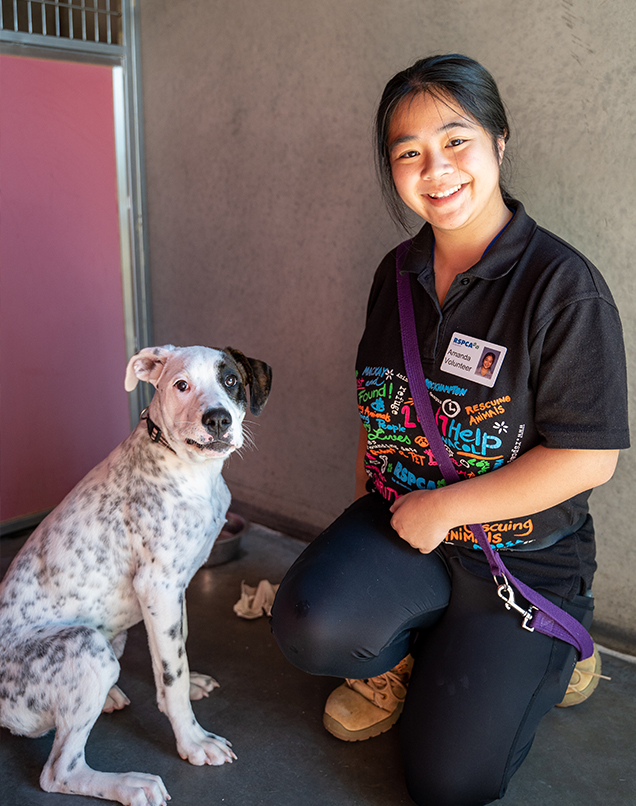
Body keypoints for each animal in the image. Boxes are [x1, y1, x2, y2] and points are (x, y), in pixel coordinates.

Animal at [0, 346, 270, 806]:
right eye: (181, 385)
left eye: (231, 380)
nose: (218, 419)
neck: (192, 472)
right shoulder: (158, 587)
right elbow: (172, 676)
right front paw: (193, 742)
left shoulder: (174, 590)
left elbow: (175, 654)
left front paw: (189, 681)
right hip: (86, 647)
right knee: (58, 772)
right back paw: (130, 783)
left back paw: (110, 697)